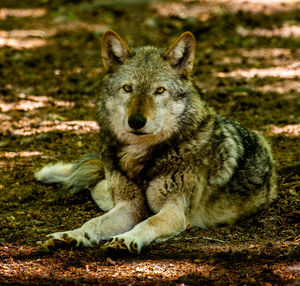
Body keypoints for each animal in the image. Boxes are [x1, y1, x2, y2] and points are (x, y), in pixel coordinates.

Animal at [35, 30, 276, 254]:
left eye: (159, 90)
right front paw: (72, 235)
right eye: (128, 88)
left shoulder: (173, 212)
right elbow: (93, 223)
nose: (136, 121)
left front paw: (127, 239)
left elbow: (148, 223)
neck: (143, 157)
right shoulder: (130, 205)